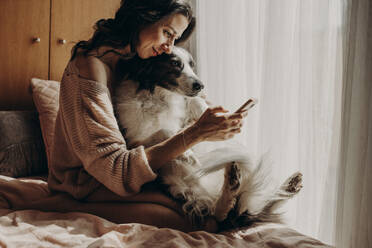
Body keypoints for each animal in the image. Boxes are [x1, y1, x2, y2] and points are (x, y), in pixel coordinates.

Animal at [113, 47, 302, 229]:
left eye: (192, 65)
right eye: (175, 63)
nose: (200, 86)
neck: (160, 96)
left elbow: (193, 102)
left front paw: (207, 109)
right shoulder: (136, 141)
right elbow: (165, 131)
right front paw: (187, 153)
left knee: (248, 206)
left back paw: (287, 185)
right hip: (178, 184)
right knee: (221, 216)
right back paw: (231, 189)